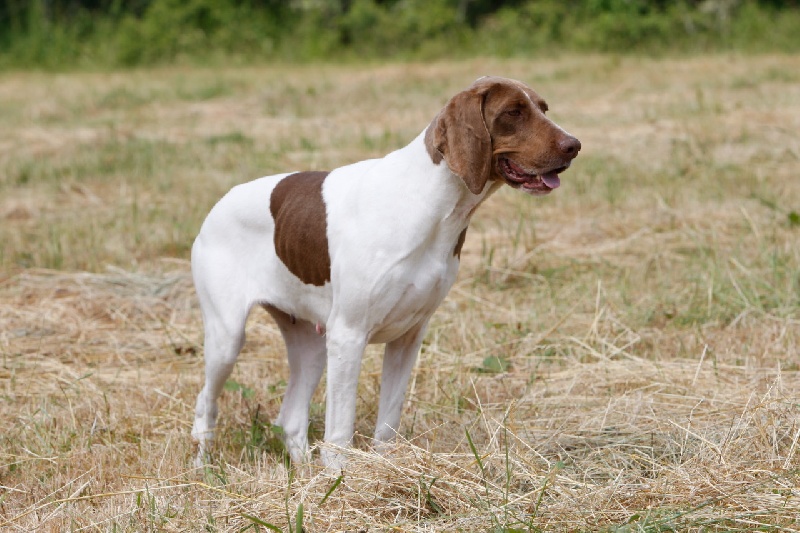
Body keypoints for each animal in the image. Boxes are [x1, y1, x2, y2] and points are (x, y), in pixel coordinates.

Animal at [192, 75, 580, 466]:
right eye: (513, 112)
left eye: (543, 109)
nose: (574, 145)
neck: (430, 203)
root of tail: (216, 206)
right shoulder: (348, 336)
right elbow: (339, 436)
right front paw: (339, 478)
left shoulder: (407, 338)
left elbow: (387, 425)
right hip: (228, 339)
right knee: (205, 403)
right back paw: (202, 466)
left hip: (311, 346)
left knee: (290, 419)